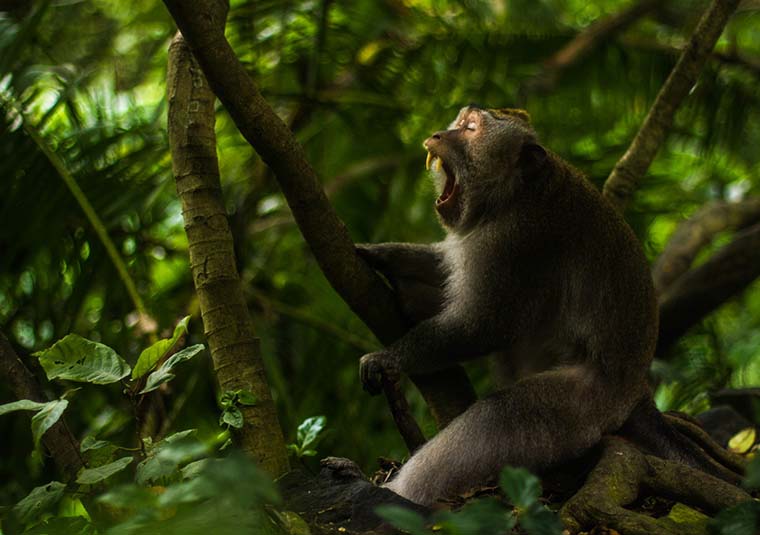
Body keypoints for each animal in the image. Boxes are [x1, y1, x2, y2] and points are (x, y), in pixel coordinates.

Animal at [355, 105, 659, 506]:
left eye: (470, 129)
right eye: (460, 122)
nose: (438, 135)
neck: (512, 194)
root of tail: (636, 389)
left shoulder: (516, 243)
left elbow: (483, 326)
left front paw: (389, 358)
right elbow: (444, 265)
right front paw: (380, 254)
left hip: (581, 402)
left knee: (498, 418)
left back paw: (395, 493)